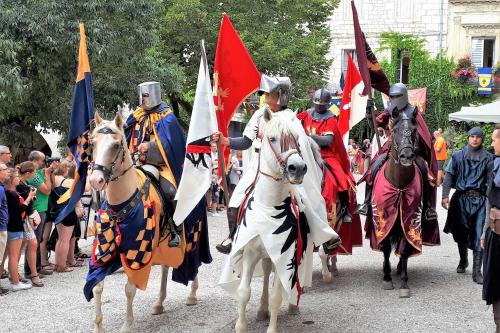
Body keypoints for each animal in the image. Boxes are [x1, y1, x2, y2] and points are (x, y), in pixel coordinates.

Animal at [89, 112, 198, 332]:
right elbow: (97, 286)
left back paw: (192, 294)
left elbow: (129, 289)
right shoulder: (104, 248)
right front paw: (98, 326)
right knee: (165, 267)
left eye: (116, 145)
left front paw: (127, 325)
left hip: (189, 233)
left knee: (193, 257)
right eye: (93, 142)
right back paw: (159, 303)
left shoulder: (137, 252)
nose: (96, 180)